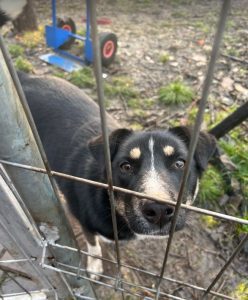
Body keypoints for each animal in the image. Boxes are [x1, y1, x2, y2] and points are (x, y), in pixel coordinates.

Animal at [18, 71, 216, 276]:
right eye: (125, 167)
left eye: (179, 163)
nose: (159, 210)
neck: (109, 203)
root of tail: (25, 78)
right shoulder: (84, 221)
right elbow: (93, 245)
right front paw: (95, 266)